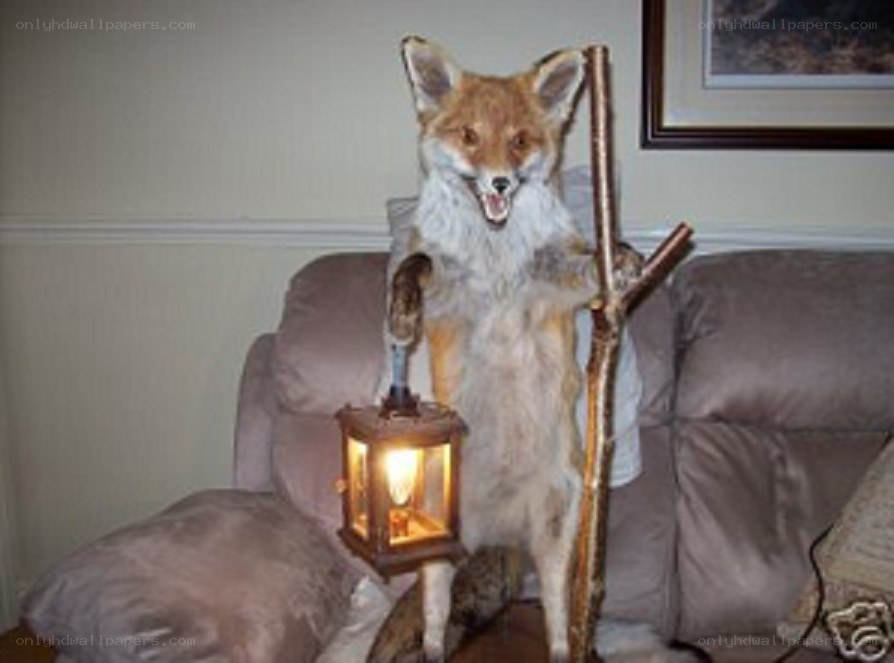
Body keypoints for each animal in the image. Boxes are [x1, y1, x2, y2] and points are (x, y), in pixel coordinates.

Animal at [368, 38, 698, 663]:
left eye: (520, 140)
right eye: (469, 137)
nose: (499, 183)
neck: (495, 258)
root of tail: (500, 531)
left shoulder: (557, 286)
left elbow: (593, 263)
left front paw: (626, 260)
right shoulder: (446, 295)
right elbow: (413, 264)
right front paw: (400, 309)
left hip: (558, 546)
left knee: (561, 629)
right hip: (436, 555)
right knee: (433, 624)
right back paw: (434, 649)